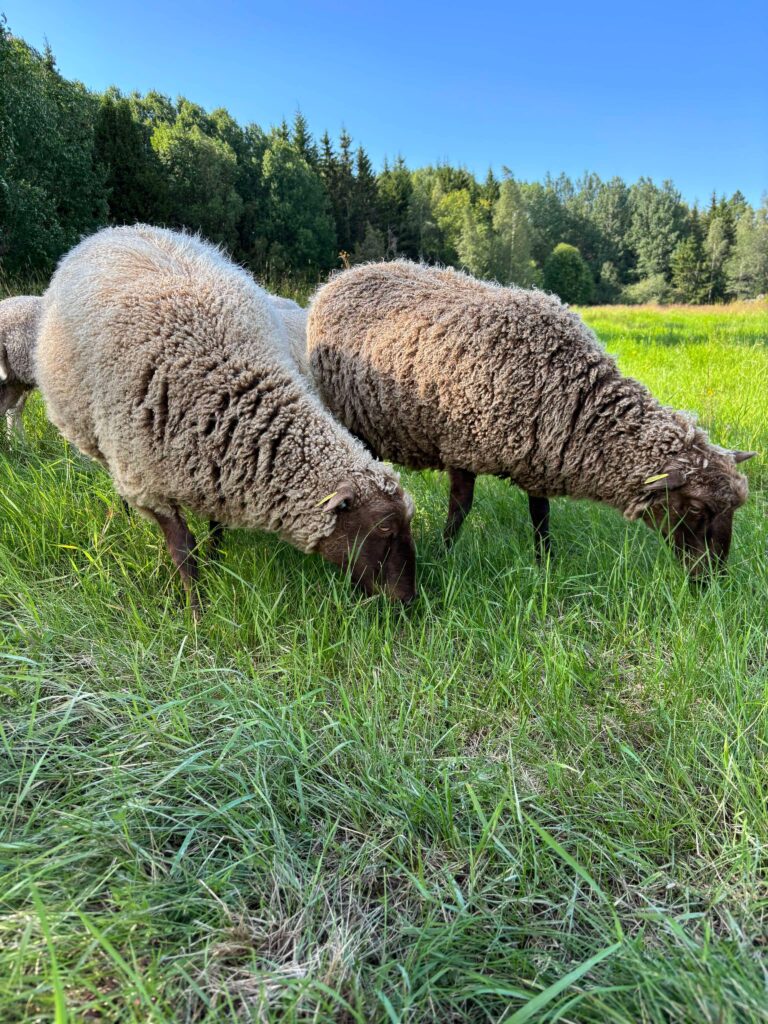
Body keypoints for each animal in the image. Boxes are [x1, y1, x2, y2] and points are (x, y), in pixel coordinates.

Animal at [34, 226, 416, 609]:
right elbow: (183, 550)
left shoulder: (216, 467)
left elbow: (216, 525)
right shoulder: (148, 485)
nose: (409, 598)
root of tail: (117, 230)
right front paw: (197, 607)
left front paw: (216, 559)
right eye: (384, 528)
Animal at [306, 261, 755, 576]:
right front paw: (445, 549)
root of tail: (341, 276)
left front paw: (546, 560)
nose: (712, 578)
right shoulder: (461, 447)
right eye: (695, 509)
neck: (569, 396)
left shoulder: (537, 453)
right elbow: (461, 508)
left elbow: (541, 515)